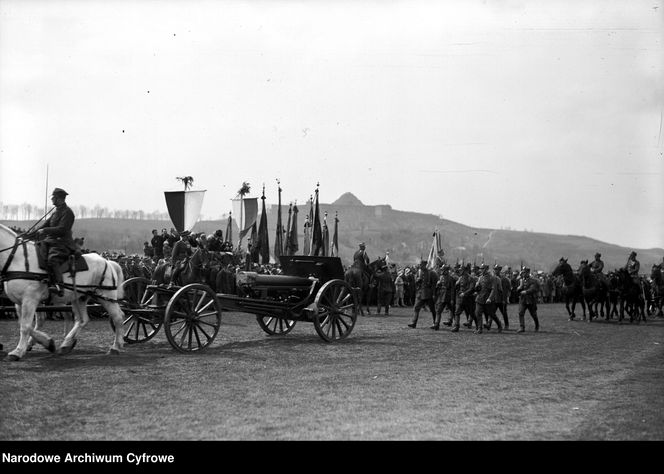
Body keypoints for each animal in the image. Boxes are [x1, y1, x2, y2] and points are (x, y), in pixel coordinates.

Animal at [0, 224, 126, 362]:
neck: (17, 259)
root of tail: (108, 262)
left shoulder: (30, 299)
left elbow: (25, 326)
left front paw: (17, 352)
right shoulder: (19, 301)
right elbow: (24, 324)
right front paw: (47, 342)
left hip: (106, 297)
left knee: (118, 317)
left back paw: (116, 347)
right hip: (79, 298)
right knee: (82, 320)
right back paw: (66, 344)